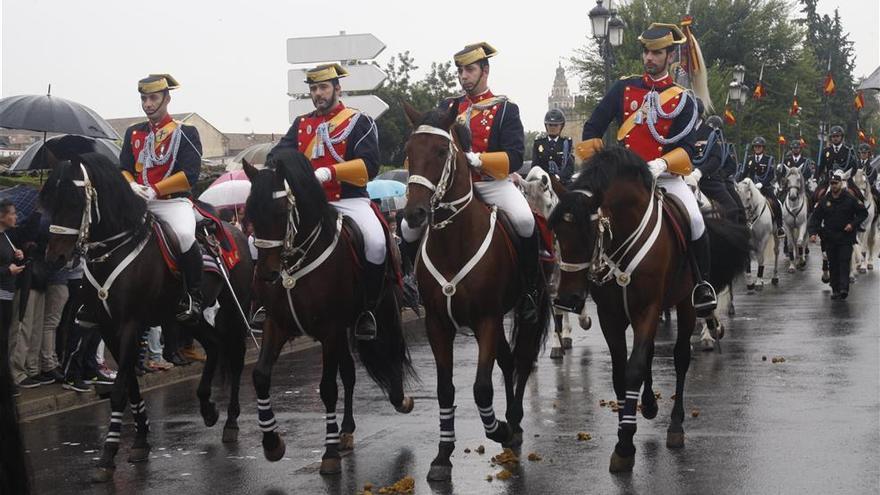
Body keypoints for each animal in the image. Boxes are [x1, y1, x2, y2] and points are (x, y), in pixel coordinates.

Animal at [41, 152, 254, 484]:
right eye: (49, 199)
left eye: (75, 200)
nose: (55, 258)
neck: (115, 250)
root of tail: (234, 231)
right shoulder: (109, 327)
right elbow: (130, 386)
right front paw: (140, 441)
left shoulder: (130, 325)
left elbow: (119, 392)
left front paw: (107, 456)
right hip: (184, 317)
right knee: (214, 346)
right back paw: (207, 408)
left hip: (234, 307)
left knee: (235, 356)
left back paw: (231, 421)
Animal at [242, 148, 414, 476]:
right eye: (249, 213)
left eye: (280, 211)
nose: (266, 275)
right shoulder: (277, 324)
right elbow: (260, 376)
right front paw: (272, 444)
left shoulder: (329, 330)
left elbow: (327, 388)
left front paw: (329, 452)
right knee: (349, 373)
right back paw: (346, 430)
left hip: (385, 306)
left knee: (392, 348)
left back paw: (400, 399)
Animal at [404, 102, 552, 482]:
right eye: (408, 152)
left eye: (442, 151)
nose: (413, 214)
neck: (453, 242)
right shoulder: (438, 324)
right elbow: (445, 389)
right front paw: (443, 455)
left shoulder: (486, 318)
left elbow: (482, 387)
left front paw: (498, 429)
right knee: (509, 359)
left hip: (524, 312)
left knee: (523, 359)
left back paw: (514, 422)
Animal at [552, 147, 748, 472]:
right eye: (555, 231)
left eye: (589, 232)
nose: (567, 299)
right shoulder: (611, 316)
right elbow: (622, 372)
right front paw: (627, 429)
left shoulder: (647, 308)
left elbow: (634, 369)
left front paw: (624, 445)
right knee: (651, 354)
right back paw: (649, 404)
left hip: (685, 305)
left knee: (681, 357)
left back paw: (675, 426)